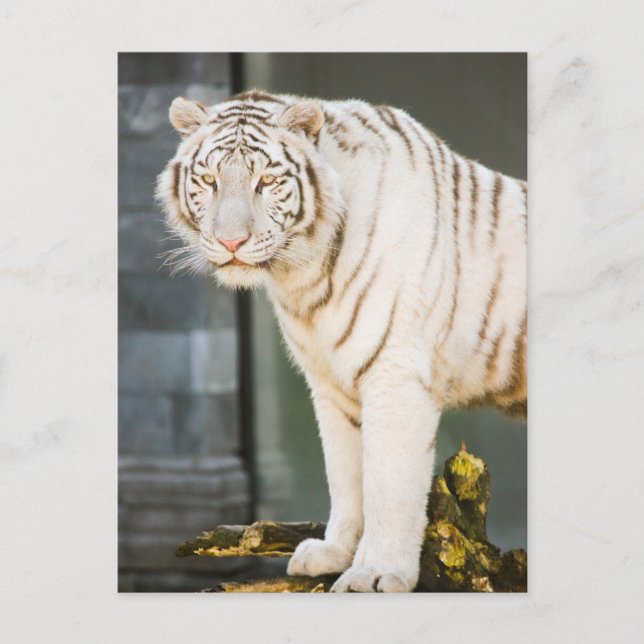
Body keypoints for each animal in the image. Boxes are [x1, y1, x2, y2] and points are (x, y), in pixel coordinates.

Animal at [157, 89, 527, 592]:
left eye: (266, 180)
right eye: (210, 179)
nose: (231, 242)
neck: (304, 279)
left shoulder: (395, 377)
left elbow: (388, 484)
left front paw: (377, 573)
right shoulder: (330, 384)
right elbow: (346, 475)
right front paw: (335, 553)